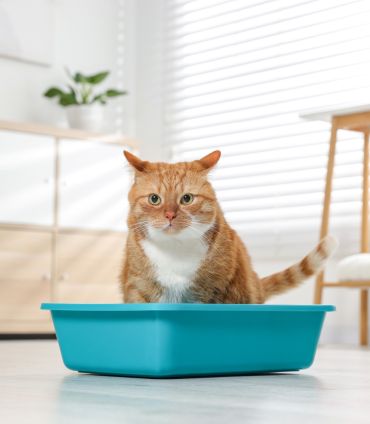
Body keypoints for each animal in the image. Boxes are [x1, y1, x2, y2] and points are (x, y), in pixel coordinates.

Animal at [120, 151, 336, 304]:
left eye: (187, 199)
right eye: (154, 199)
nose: (170, 215)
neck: (175, 249)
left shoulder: (213, 291)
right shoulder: (138, 287)